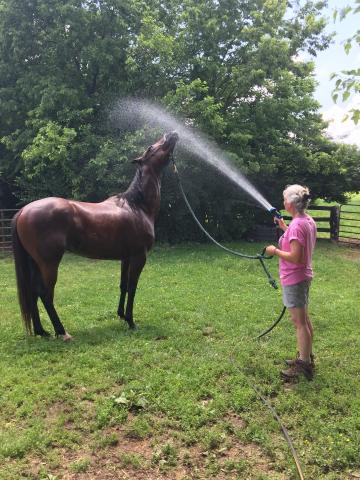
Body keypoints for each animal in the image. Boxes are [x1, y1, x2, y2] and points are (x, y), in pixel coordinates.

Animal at [11, 131, 179, 340]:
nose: (172, 133)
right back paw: (62, 332)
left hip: (35, 263)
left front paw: (121, 315)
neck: (136, 206)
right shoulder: (139, 256)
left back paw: (42, 332)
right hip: (49, 263)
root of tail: (24, 210)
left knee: (33, 293)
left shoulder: (126, 257)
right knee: (45, 294)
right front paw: (131, 322)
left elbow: (123, 286)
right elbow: (133, 287)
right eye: (151, 148)